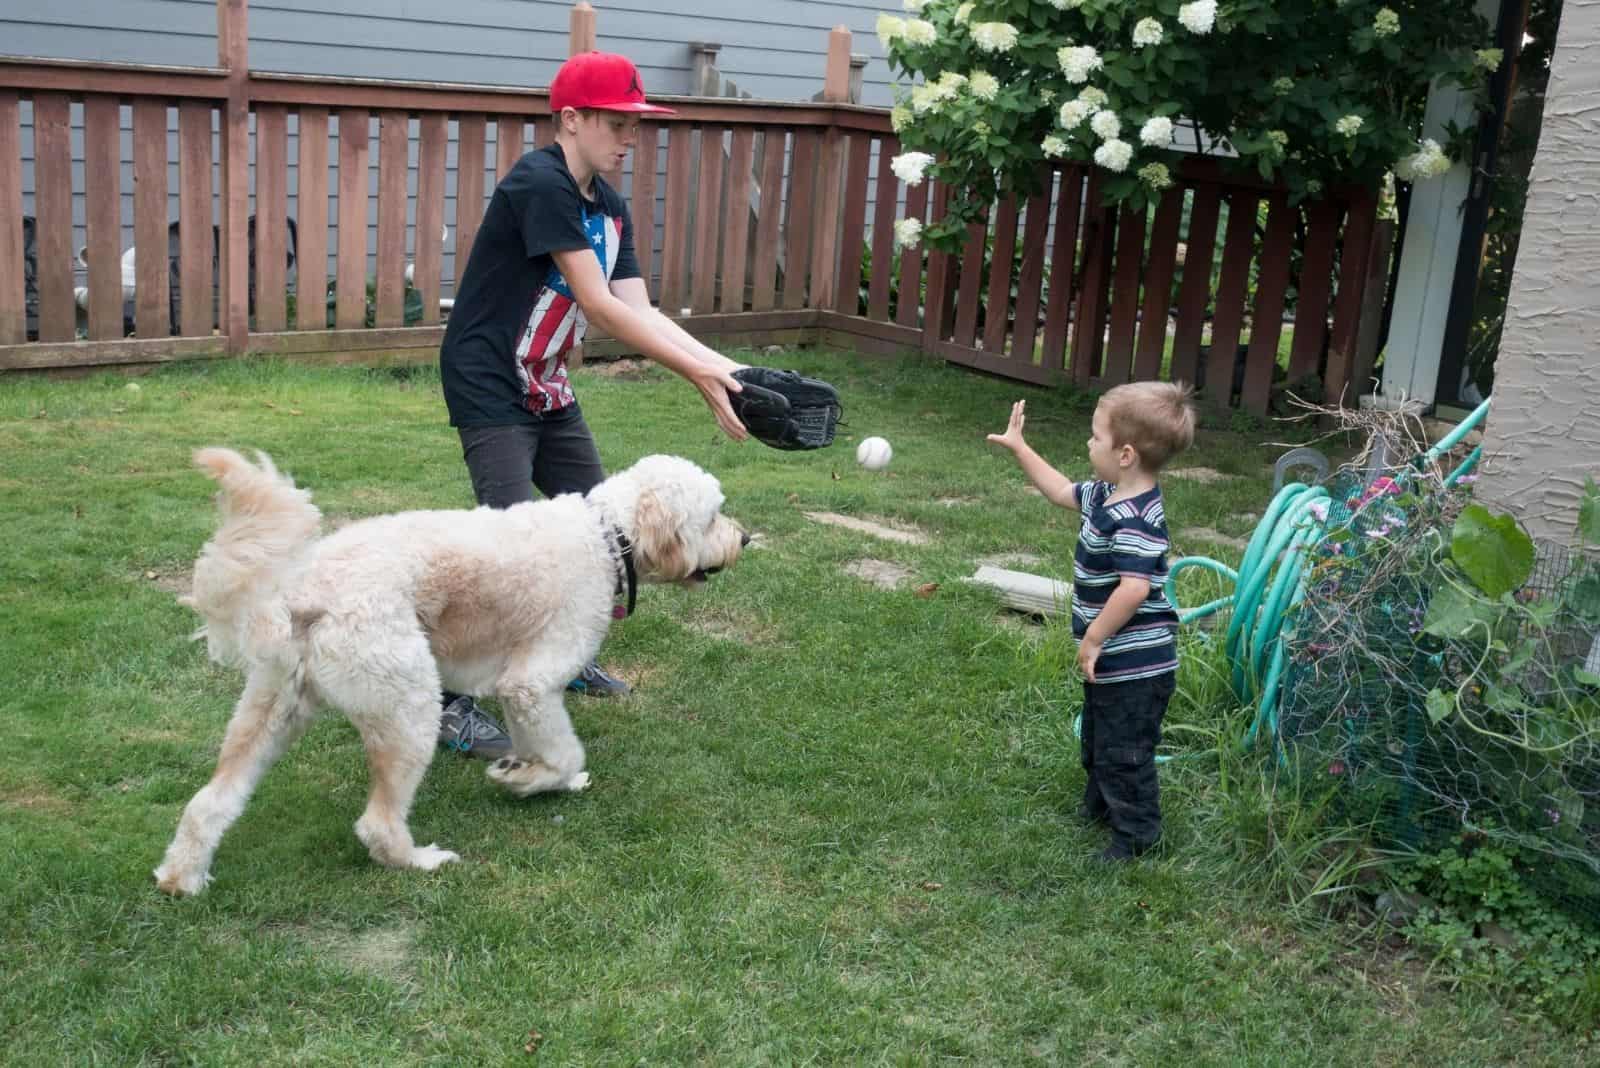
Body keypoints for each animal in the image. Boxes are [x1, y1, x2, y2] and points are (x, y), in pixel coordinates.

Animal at [152, 447, 745, 895]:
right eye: (713, 516)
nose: (745, 539)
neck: (605, 536)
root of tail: (300, 595)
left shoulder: (519, 690)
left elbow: (541, 744)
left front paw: (529, 770)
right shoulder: (532, 682)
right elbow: (564, 750)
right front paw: (529, 780)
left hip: (268, 713)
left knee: (209, 803)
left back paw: (182, 878)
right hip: (410, 709)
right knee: (377, 824)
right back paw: (420, 861)